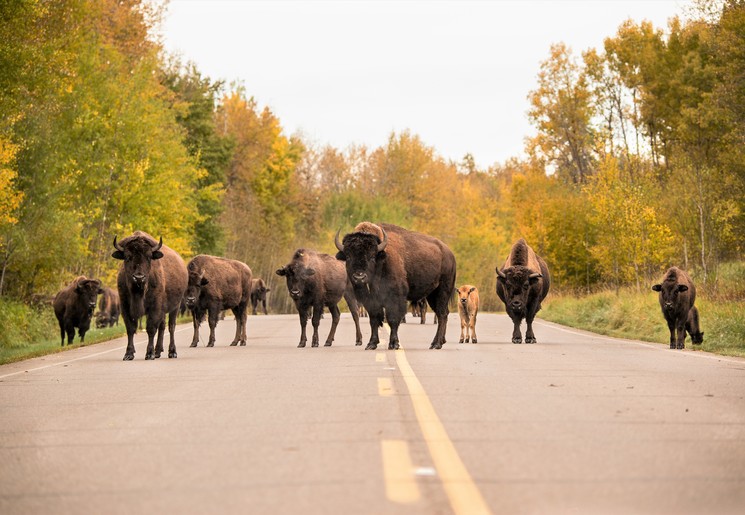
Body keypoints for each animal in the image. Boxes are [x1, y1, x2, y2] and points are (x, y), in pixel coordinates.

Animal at [114, 232, 189, 360]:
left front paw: (149, 353)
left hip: (175, 306)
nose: (139, 277)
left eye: (149, 257)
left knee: (171, 326)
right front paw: (128, 354)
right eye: (127, 257)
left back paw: (172, 352)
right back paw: (158, 351)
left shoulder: (155, 307)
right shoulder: (125, 307)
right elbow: (130, 329)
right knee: (162, 326)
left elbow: (150, 328)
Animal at [336, 222, 454, 350]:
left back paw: (436, 344)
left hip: (443, 291)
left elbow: (392, 319)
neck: (381, 260)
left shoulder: (395, 298)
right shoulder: (371, 302)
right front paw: (371, 344)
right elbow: (374, 319)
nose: (359, 277)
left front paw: (393, 344)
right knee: (442, 313)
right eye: (348, 257)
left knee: (442, 314)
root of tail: (449, 253)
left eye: (372, 257)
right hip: (432, 295)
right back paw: (437, 342)